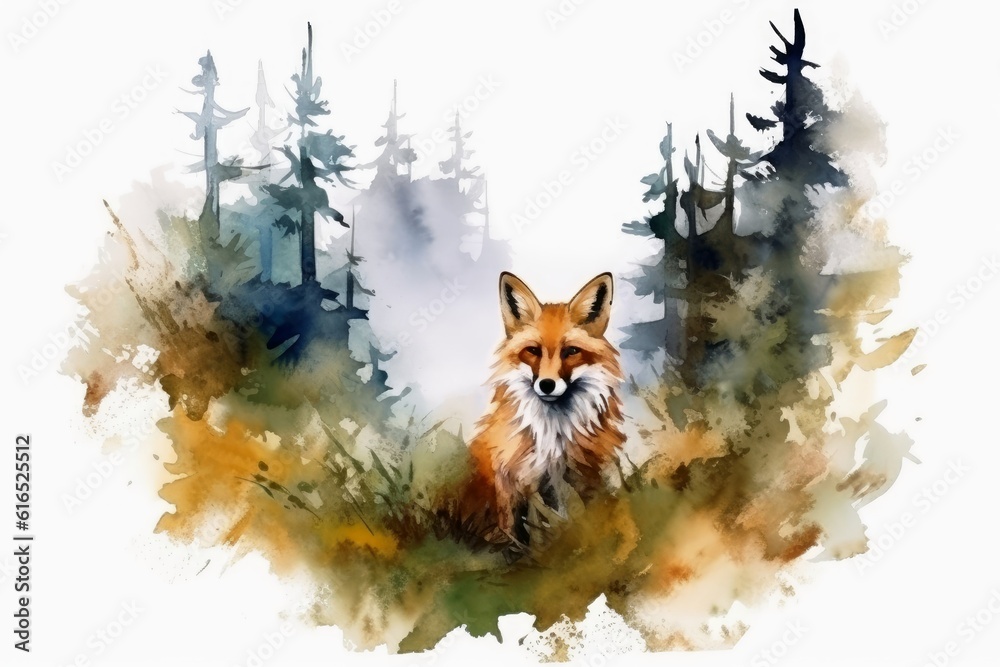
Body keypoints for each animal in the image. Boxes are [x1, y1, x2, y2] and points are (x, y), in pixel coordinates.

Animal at [463, 272, 626, 548]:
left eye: (571, 351)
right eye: (533, 351)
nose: (547, 384)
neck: (553, 435)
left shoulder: (580, 474)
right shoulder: (514, 477)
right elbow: (512, 527)